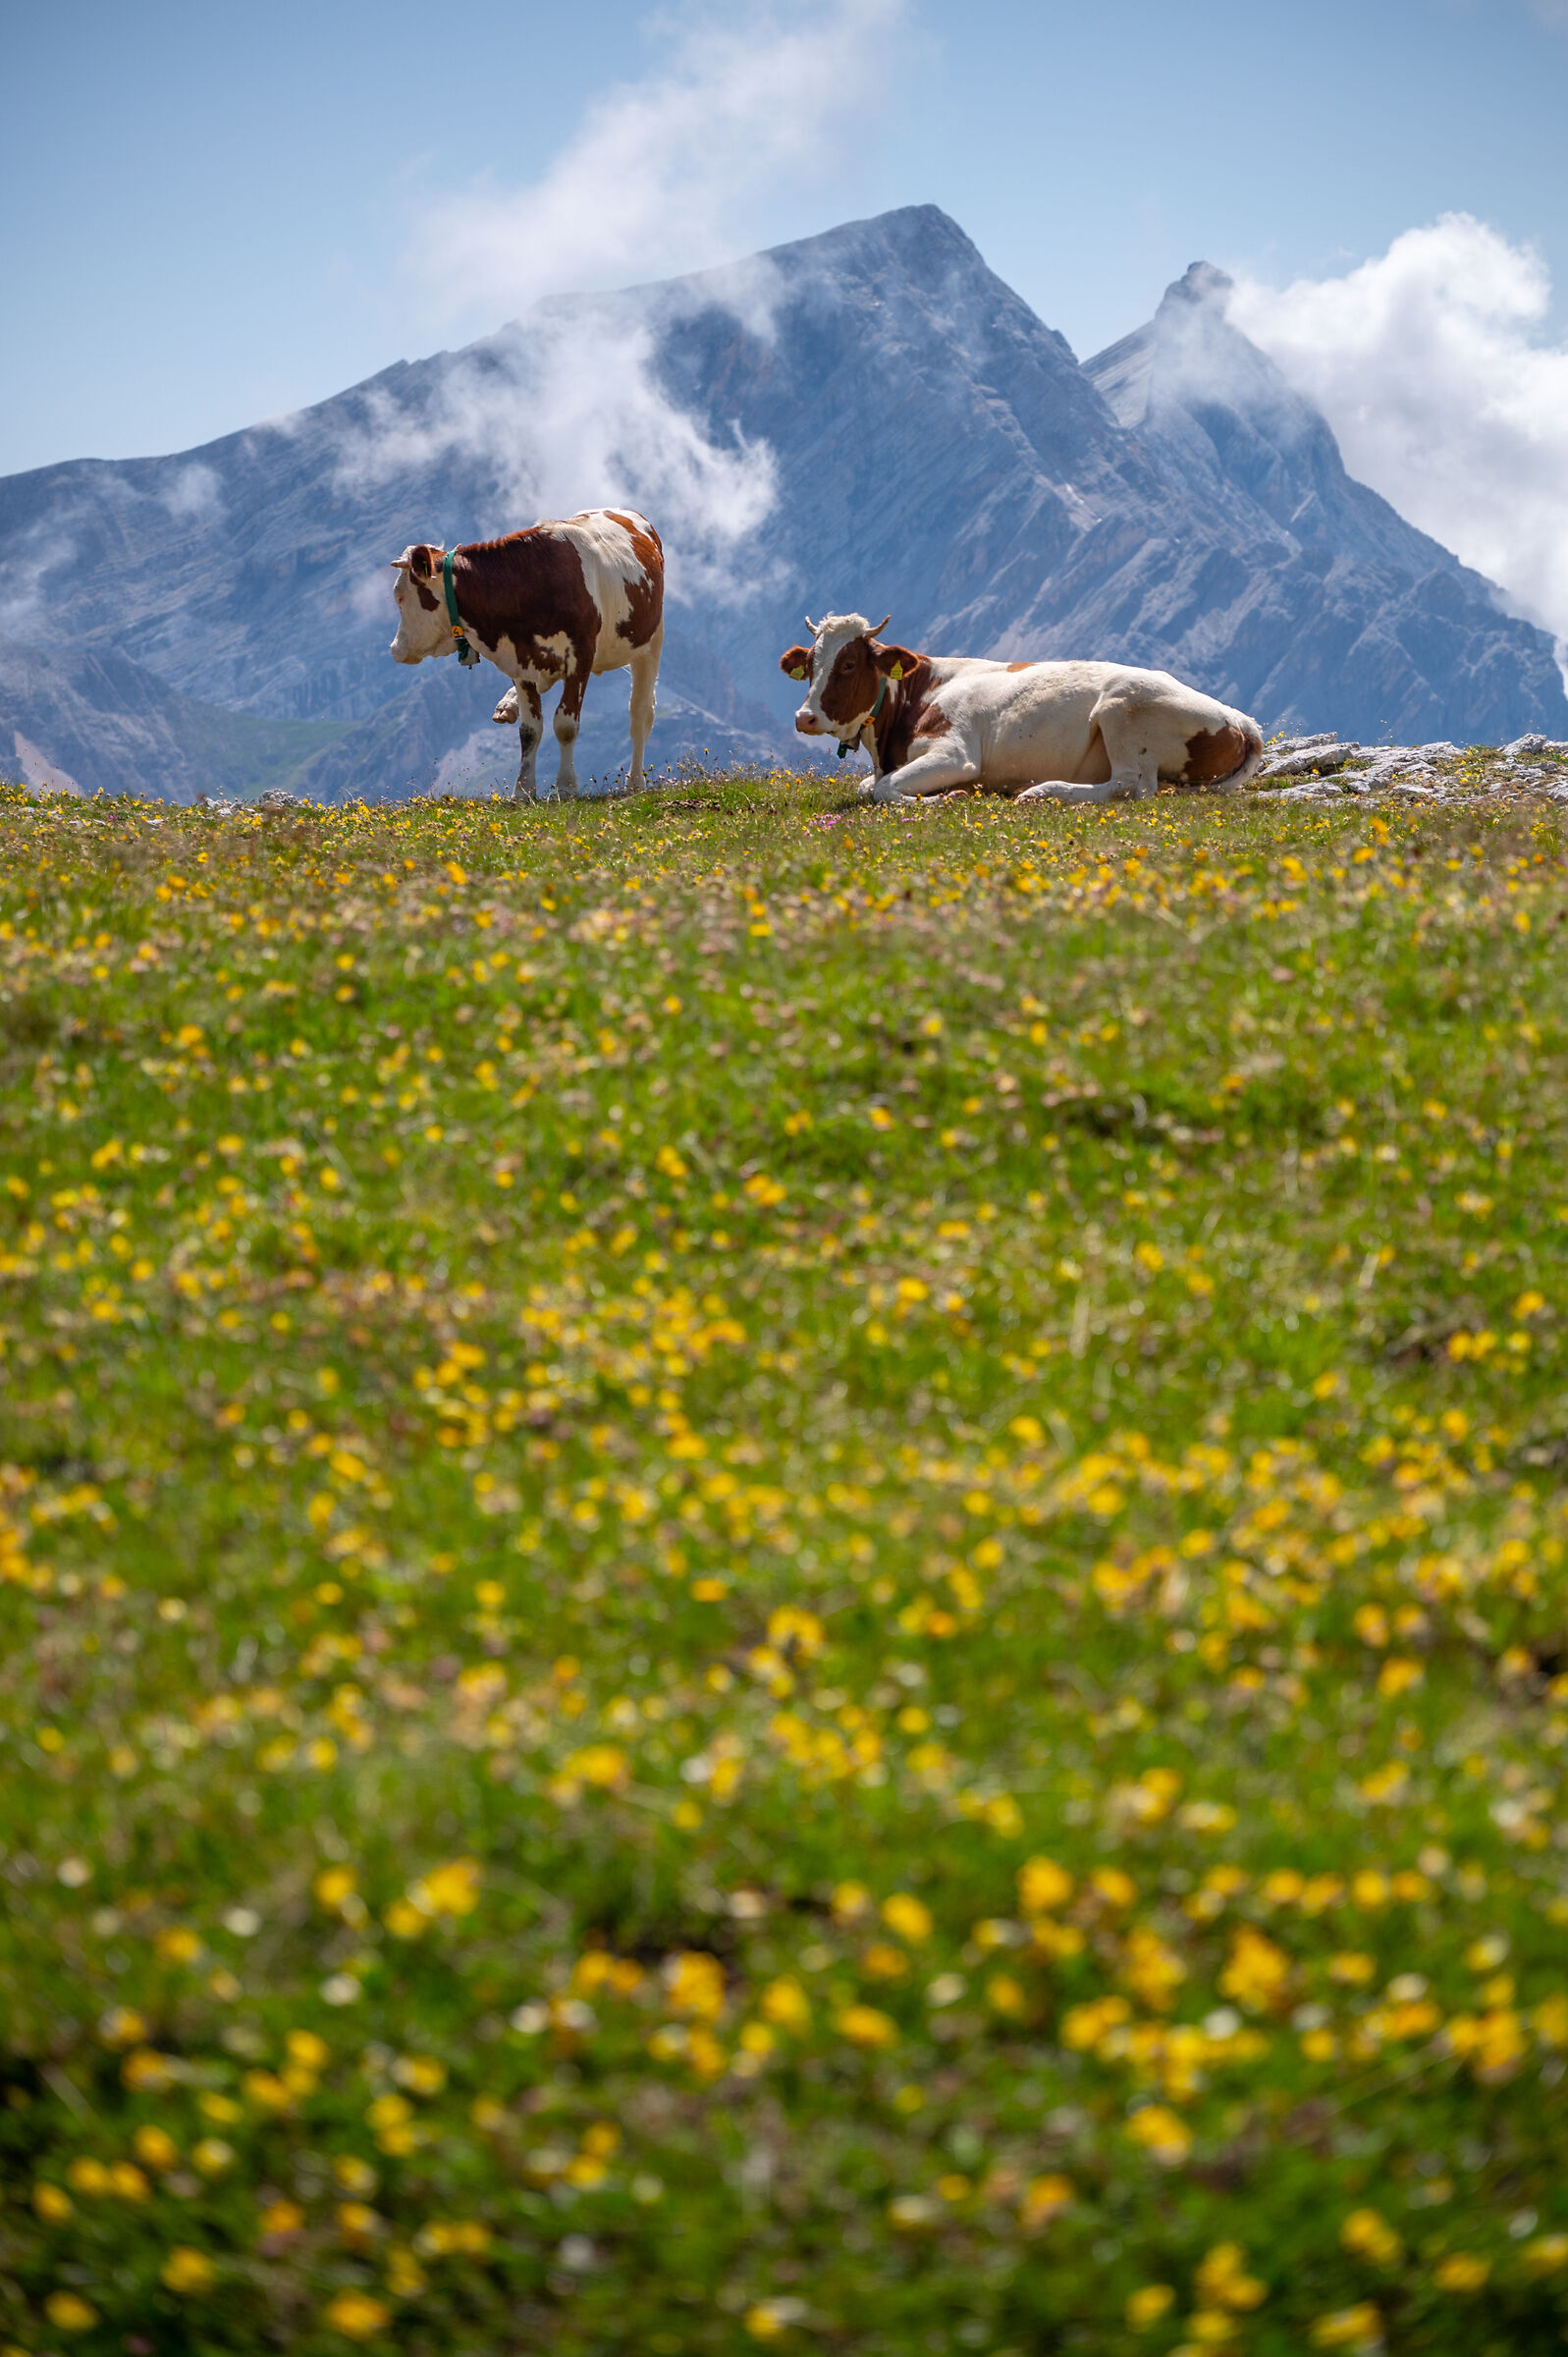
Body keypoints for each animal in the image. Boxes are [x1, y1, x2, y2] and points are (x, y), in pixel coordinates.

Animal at [389, 508, 663, 801]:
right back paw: (507, 706)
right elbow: (529, 730)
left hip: (651, 642)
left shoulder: (580, 658)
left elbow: (565, 725)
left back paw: (635, 783)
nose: (395, 648)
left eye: (400, 598)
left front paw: (566, 786)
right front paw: (522, 790)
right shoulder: (520, 662)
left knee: (641, 714)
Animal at [779, 613, 1263, 803]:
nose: (805, 718)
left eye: (848, 663)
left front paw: (950, 795)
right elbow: (869, 786)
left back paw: (1041, 791)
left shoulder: (956, 753)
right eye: (810, 665)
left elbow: (881, 790)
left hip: (1121, 708)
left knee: (1132, 785)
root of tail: (1240, 718)